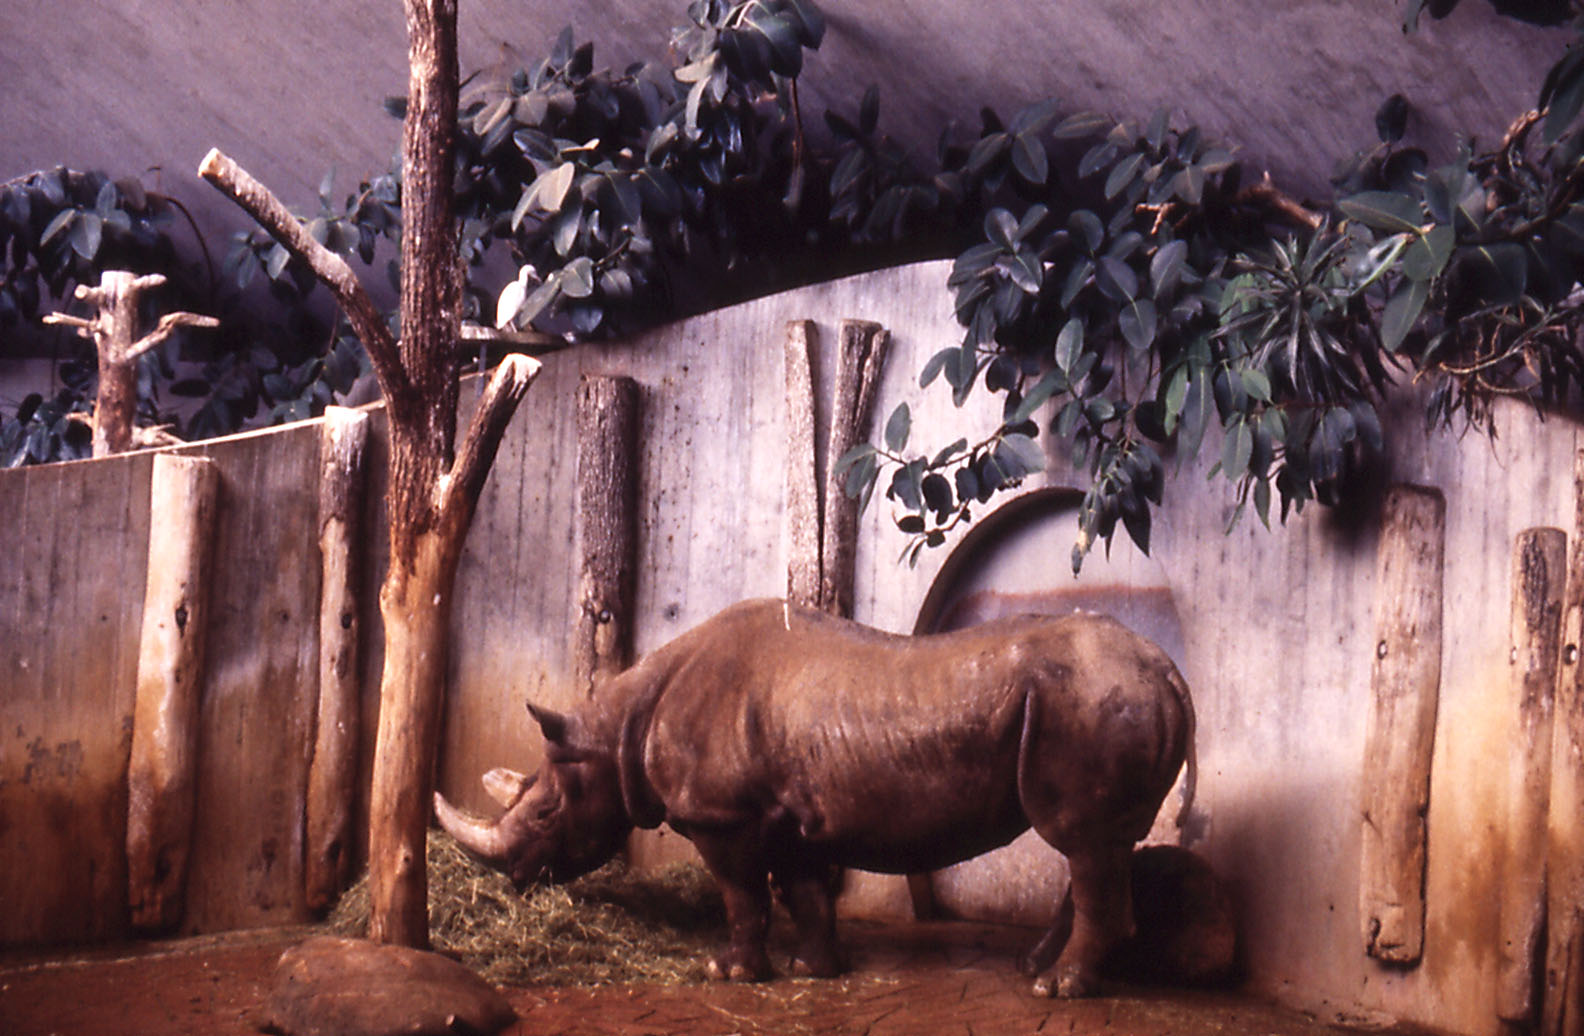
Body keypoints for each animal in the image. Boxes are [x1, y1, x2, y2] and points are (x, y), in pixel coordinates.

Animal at [434, 598, 1195, 998]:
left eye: (545, 814)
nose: (516, 878)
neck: (616, 731)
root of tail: (1170, 672)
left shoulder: (722, 816)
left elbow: (742, 895)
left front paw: (729, 972)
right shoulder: (781, 815)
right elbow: (802, 891)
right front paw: (815, 969)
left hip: (1092, 701)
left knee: (1082, 843)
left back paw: (1055, 989)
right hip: (1101, 698)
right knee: (1094, 847)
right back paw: (1036, 969)